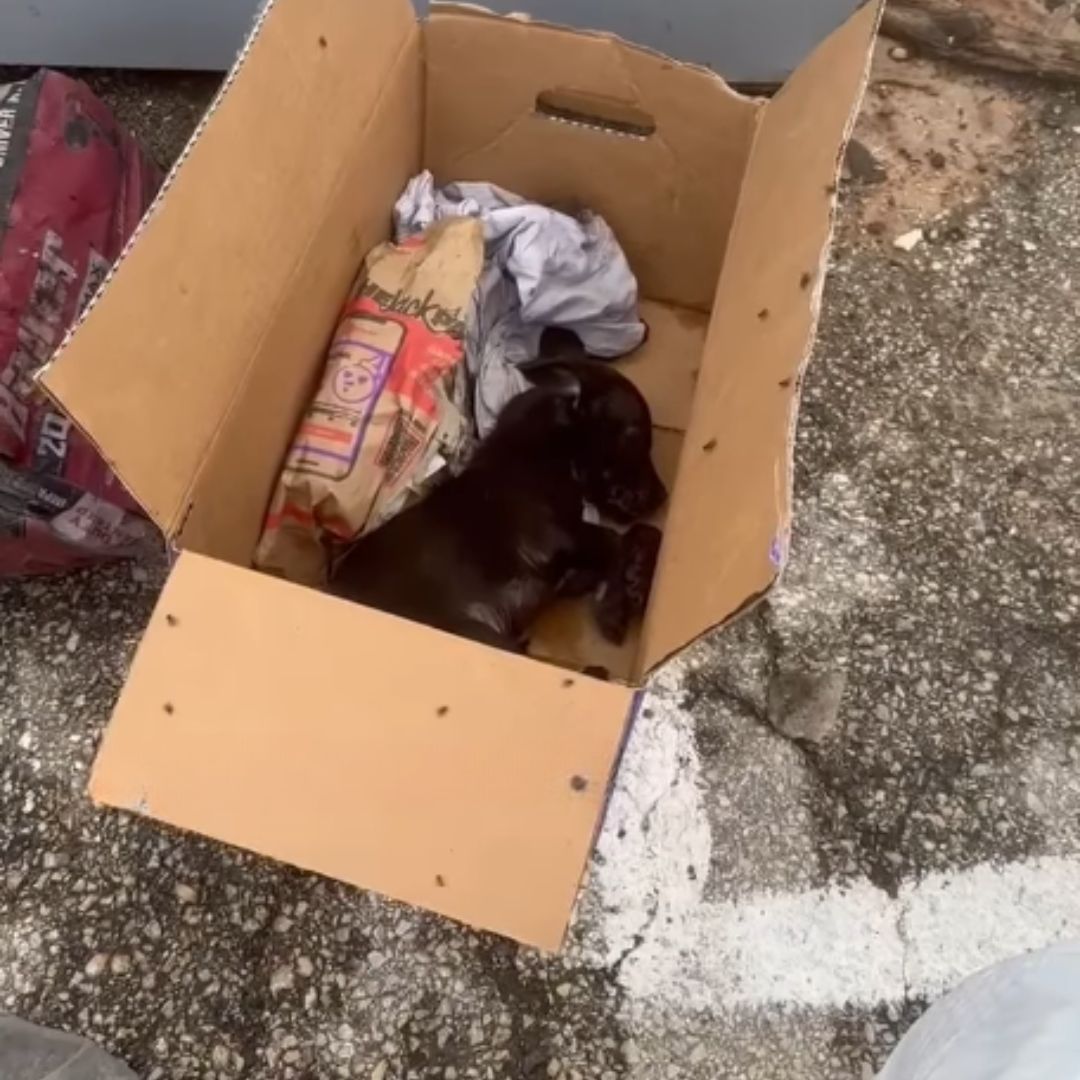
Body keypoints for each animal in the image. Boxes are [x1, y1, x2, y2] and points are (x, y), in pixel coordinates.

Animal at [326, 341, 665, 652]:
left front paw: (635, 578)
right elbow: (617, 539)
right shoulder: (555, 537)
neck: (540, 452)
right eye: (634, 436)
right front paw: (617, 601)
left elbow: (642, 533)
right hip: (475, 632)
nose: (663, 496)